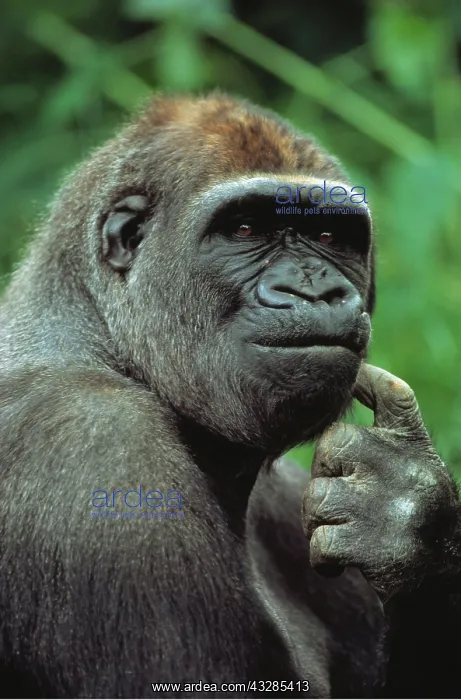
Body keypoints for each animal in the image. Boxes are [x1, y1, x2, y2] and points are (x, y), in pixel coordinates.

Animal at [0, 92, 460, 698]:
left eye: (330, 237)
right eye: (243, 229)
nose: (315, 289)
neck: (95, 333)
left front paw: (410, 520)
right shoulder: (97, 449)